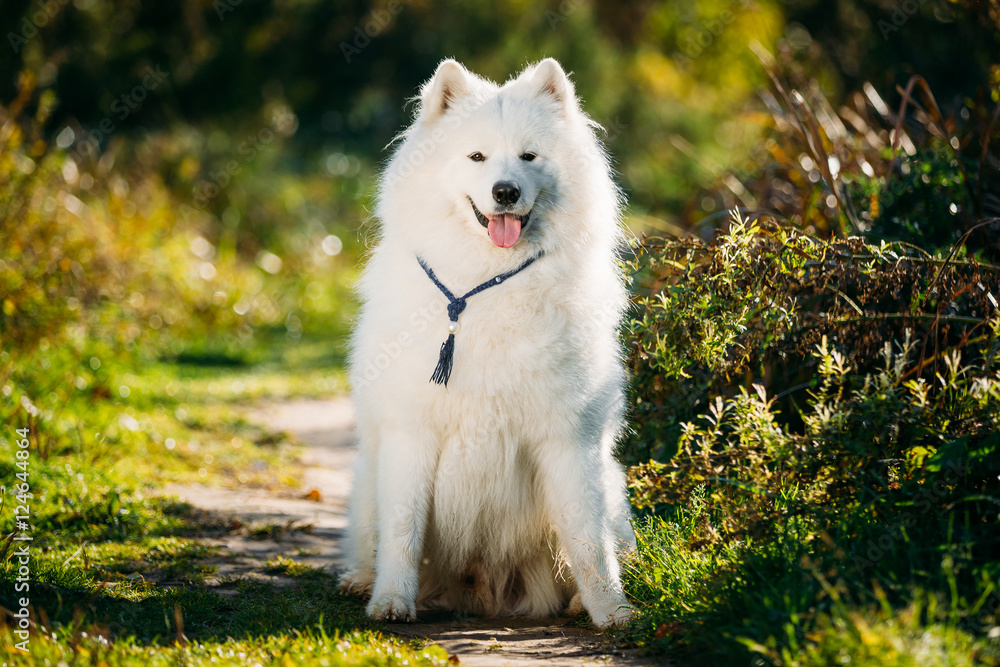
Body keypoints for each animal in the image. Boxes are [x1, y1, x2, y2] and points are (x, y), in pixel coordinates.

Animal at [344, 58, 636, 632]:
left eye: (529, 156)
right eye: (476, 157)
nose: (505, 192)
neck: (488, 288)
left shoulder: (570, 438)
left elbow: (589, 540)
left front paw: (612, 610)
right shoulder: (411, 433)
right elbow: (402, 533)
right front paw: (392, 601)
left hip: (614, 491)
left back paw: (576, 603)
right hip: (367, 478)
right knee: (370, 540)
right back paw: (361, 581)